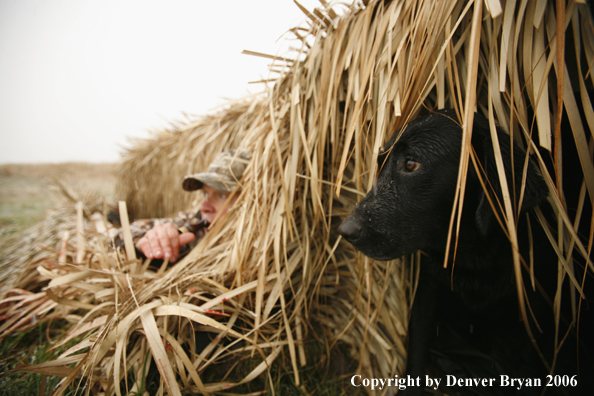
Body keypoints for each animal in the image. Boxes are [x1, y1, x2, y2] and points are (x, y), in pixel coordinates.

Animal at [338, 109, 592, 396]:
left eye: (411, 164)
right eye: (381, 164)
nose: (345, 230)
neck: (473, 257)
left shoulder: (534, 310)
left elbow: (529, 366)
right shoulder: (427, 293)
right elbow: (416, 353)